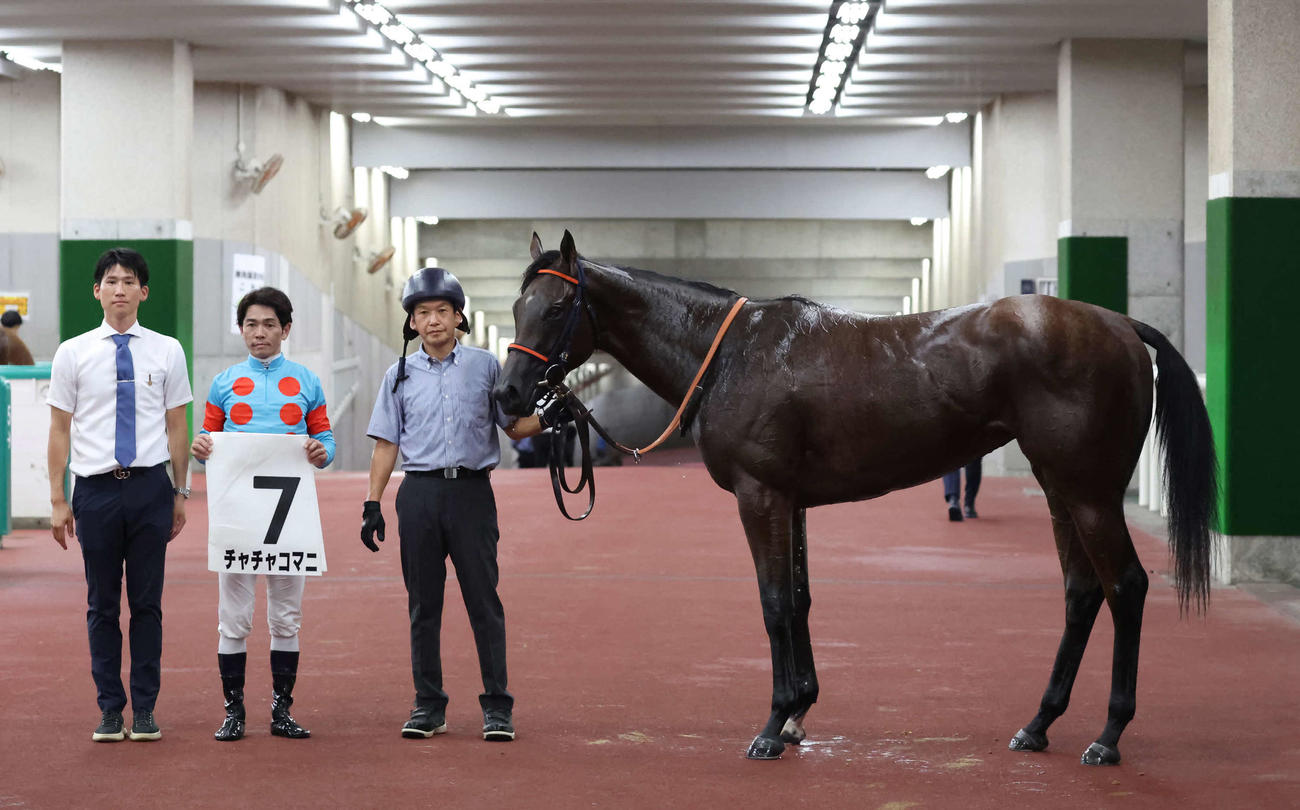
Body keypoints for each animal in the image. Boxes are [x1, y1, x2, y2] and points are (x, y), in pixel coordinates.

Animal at [492, 230, 1217, 766]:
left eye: (555, 309)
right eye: (516, 309)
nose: (507, 395)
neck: (731, 356)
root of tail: (1120, 323)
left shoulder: (762, 497)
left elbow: (775, 603)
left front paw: (772, 725)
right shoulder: (793, 502)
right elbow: (801, 599)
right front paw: (798, 714)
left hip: (1089, 491)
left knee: (1124, 587)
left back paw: (1108, 736)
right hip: (1059, 487)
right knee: (1082, 591)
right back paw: (1037, 725)